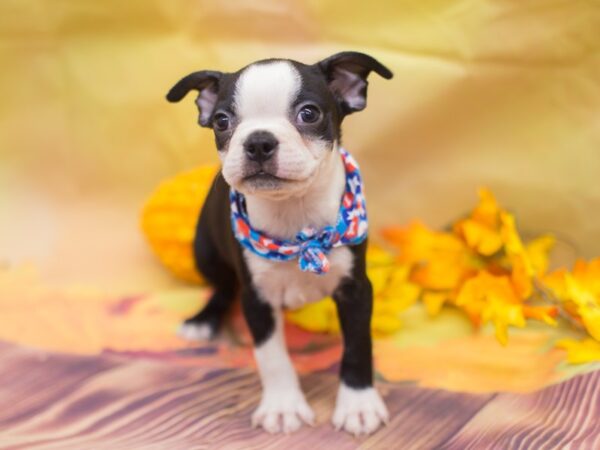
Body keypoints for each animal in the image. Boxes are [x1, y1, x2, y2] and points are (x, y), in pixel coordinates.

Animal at [168, 52, 394, 436]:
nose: (259, 141)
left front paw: (358, 406)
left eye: (309, 113)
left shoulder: (356, 290)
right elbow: (271, 357)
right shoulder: (257, 298)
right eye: (221, 121)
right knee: (222, 287)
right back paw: (203, 320)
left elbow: (357, 347)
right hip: (204, 250)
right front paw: (283, 407)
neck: (294, 214)